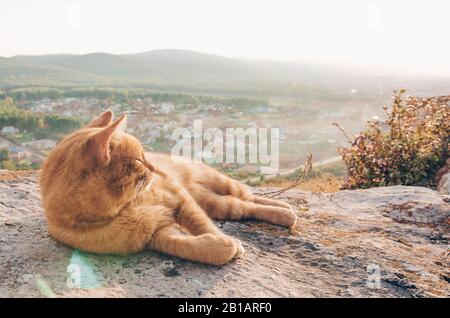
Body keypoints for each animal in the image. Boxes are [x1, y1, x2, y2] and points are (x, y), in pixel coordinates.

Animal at [40, 112, 298, 266]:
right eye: (139, 160)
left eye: (145, 154)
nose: (155, 169)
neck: (126, 209)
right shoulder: (159, 233)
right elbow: (189, 247)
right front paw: (220, 247)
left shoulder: (179, 200)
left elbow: (203, 226)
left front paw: (224, 240)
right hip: (215, 203)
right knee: (242, 206)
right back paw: (285, 214)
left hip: (216, 183)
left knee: (247, 195)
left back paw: (286, 210)